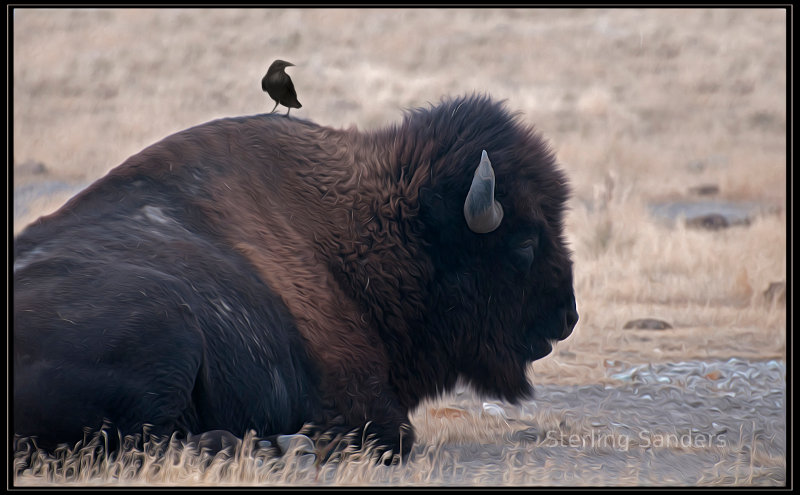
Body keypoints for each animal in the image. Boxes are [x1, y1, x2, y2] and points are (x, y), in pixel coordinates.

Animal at [10, 94, 576, 462]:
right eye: (526, 243)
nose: (566, 317)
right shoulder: (363, 403)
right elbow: (395, 436)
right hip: (166, 326)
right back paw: (275, 445)